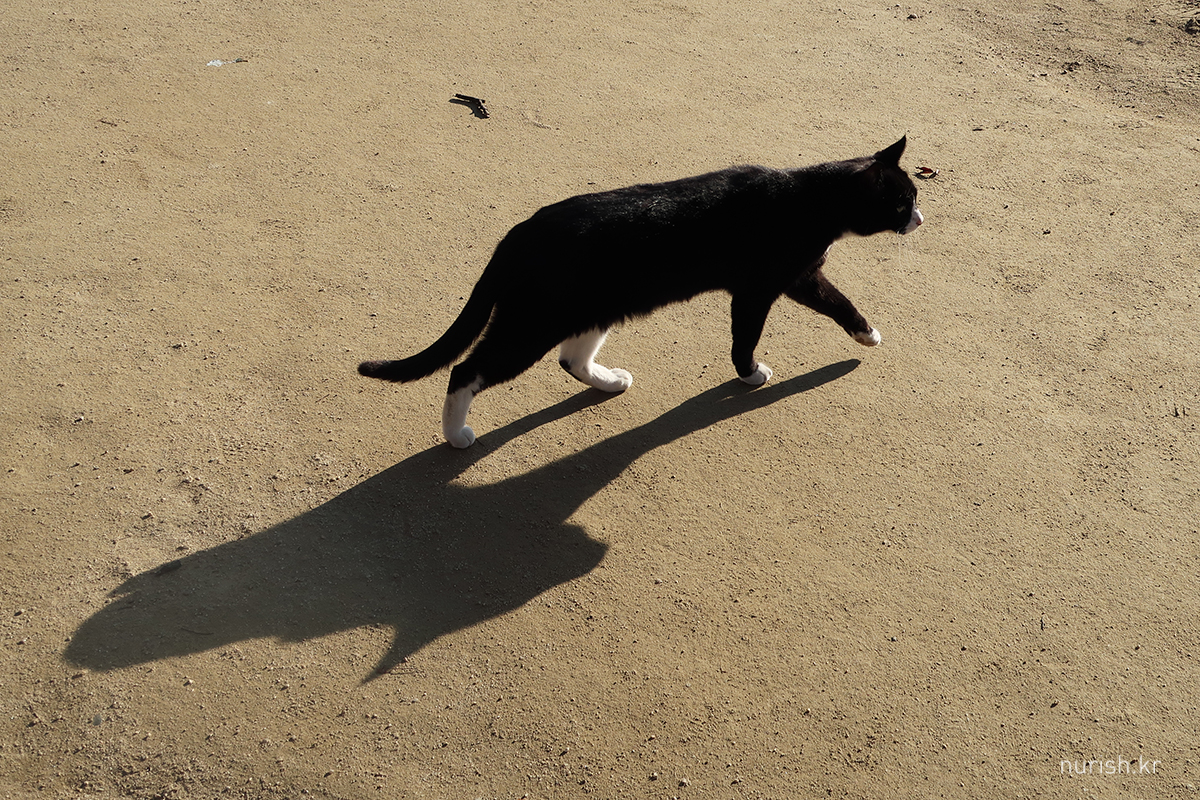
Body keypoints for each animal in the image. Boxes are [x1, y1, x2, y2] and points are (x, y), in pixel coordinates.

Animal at [359, 137, 923, 448]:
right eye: (902, 202)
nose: (920, 218)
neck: (808, 197)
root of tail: (519, 232)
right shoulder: (758, 288)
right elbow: (745, 336)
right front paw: (750, 374)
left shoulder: (801, 276)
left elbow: (838, 301)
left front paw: (867, 334)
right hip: (533, 322)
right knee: (466, 370)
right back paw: (457, 436)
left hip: (592, 309)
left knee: (571, 358)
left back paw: (609, 382)